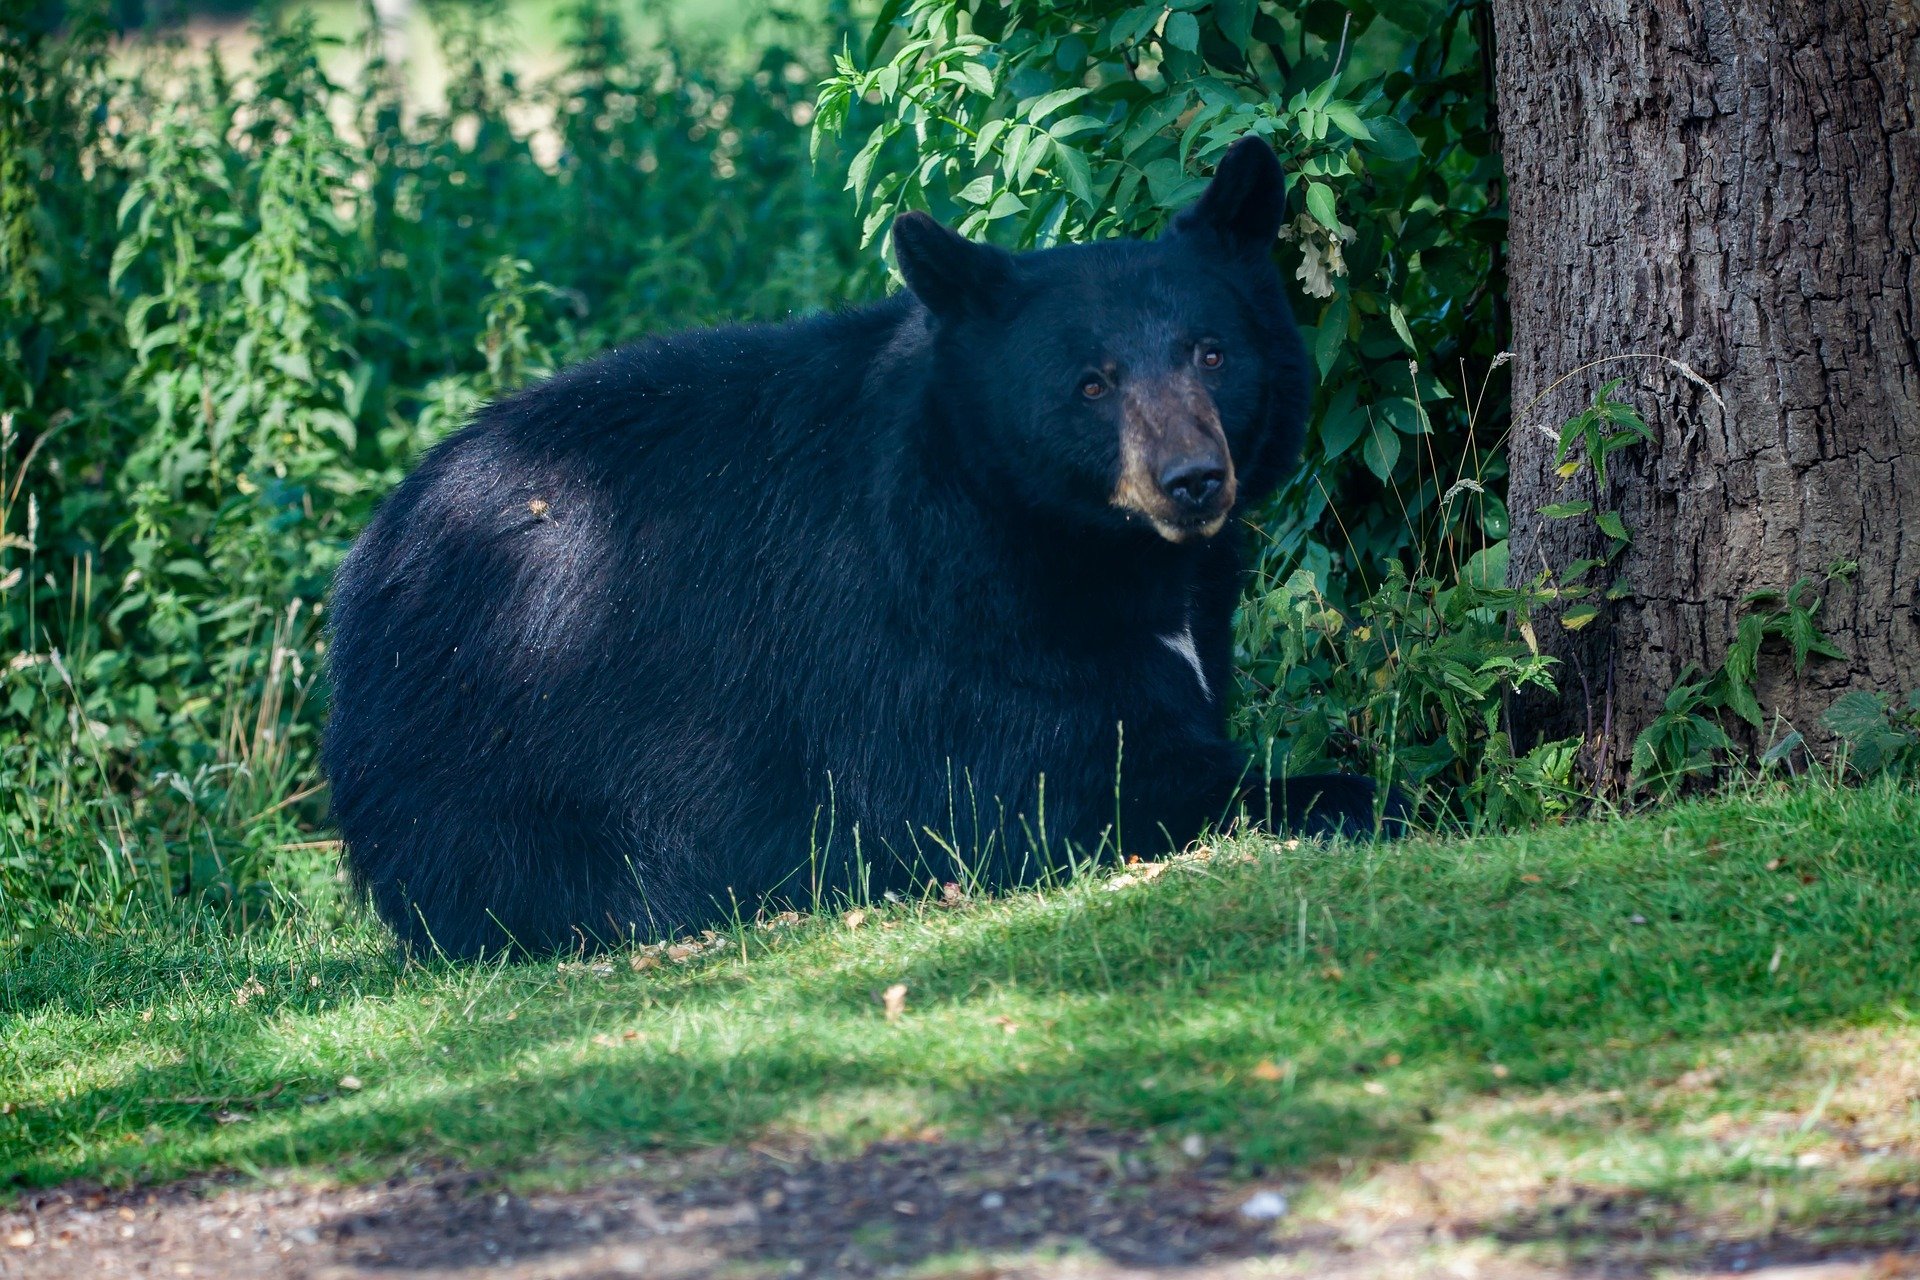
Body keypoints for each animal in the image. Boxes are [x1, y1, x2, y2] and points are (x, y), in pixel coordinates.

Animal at [321, 136, 1388, 959]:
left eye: (1212, 351)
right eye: (1093, 381)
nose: (1193, 480)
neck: (1089, 547)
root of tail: (369, 559)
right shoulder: (940, 621)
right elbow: (1059, 783)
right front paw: (1350, 793)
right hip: (504, 731)